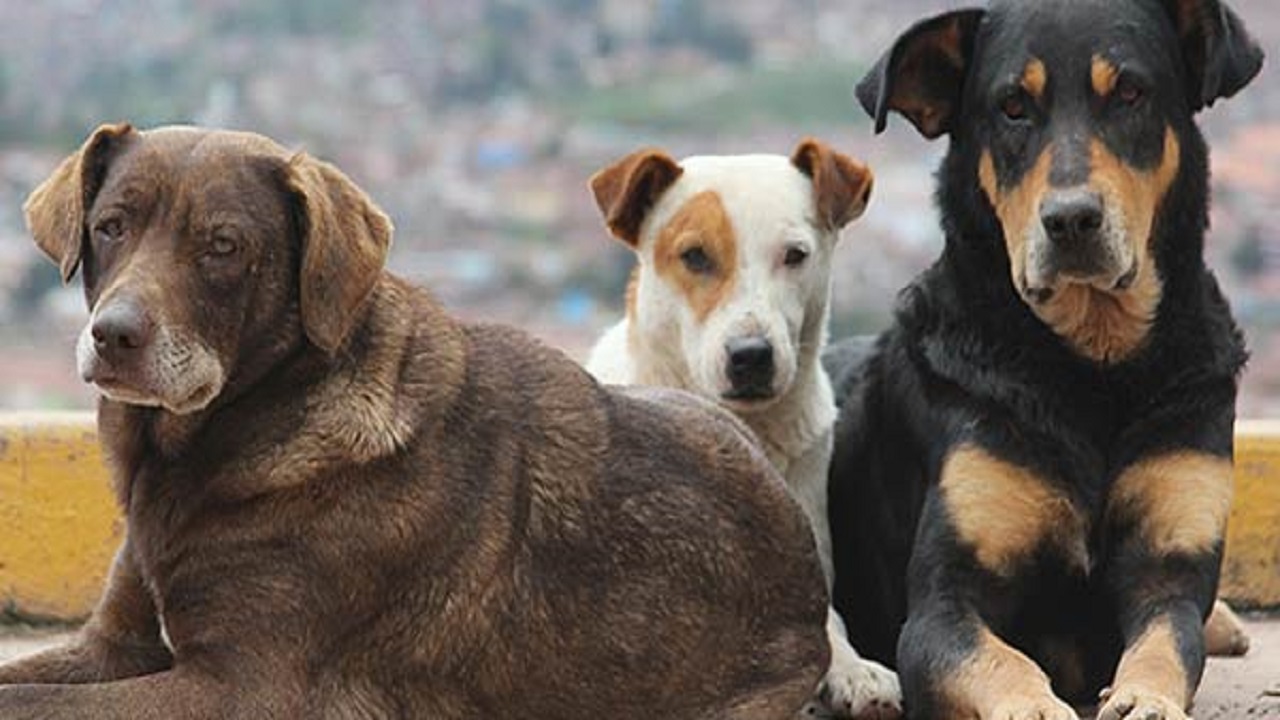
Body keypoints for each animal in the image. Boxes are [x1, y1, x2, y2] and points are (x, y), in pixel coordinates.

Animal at [0, 122, 829, 717]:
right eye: (111, 226)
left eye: (223, 246)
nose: (114, 336)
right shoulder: (114, 646)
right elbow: (23, 681)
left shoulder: (236, 688)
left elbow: (32, 702)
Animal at [824, 4, 1264, 717]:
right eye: (1011, 107)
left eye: (1131, 94)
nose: (1072, 219)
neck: (1092, 364)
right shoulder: (942, 603)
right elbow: (1000, 659)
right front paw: (1033, 704)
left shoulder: (1170, 566)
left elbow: (1167, 643)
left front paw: (1146, 697)